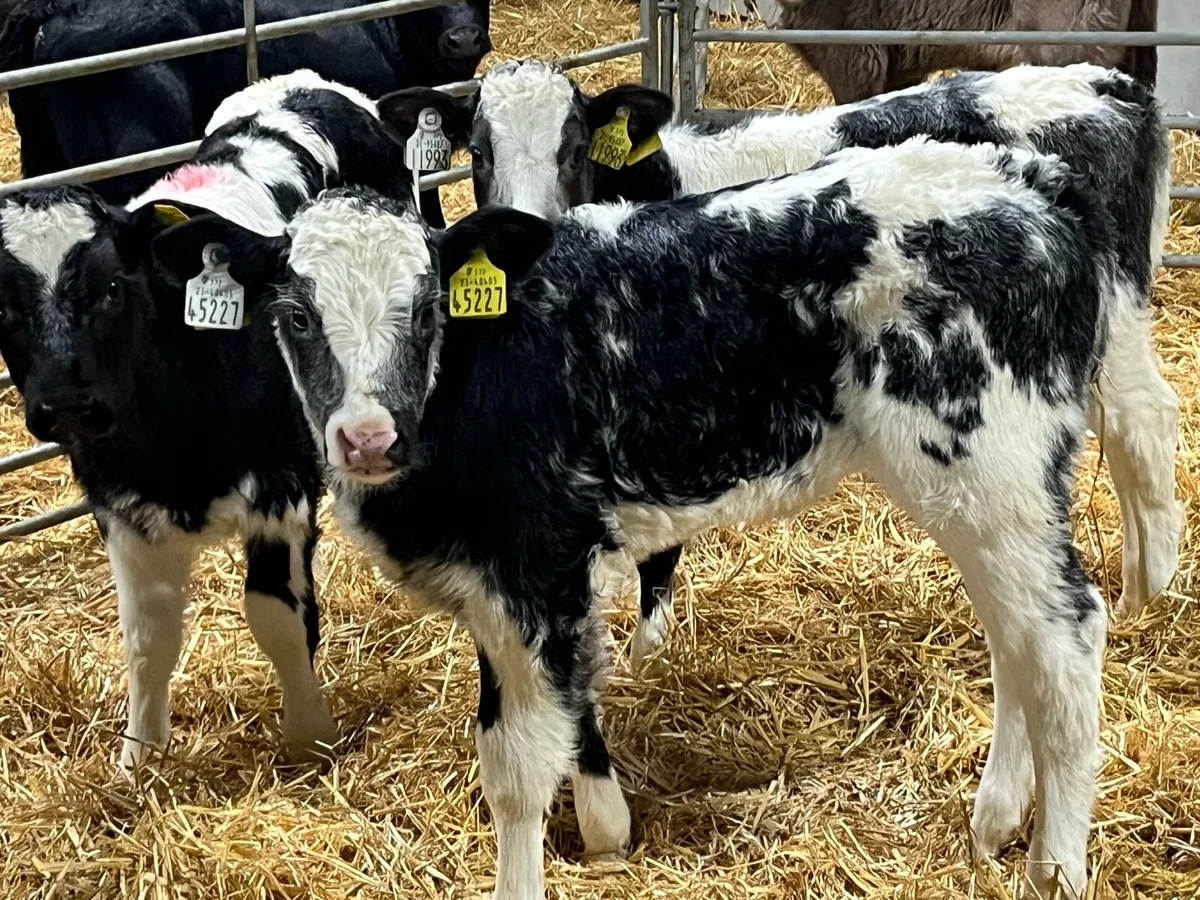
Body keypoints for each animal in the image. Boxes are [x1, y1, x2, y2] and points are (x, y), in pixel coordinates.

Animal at [0, 70, 415, 775]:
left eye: (114, 286)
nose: (66, 404)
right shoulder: (121, 503)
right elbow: (147, 633)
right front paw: (139, 755)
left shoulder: (280, 483)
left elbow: (277, 616)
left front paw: (310, 737)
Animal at [151, 134, 1179, 898]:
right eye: (294, 315)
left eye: (425, 310)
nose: (364, 435)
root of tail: (1035, 185)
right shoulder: (500, 579)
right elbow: (550, 710)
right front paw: (609, 827)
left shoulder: (537, 561)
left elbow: (515, 767)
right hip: (983, 485)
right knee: (1018, 635)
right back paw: (995, 821)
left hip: (991, 464)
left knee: (1066, 634)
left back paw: (1056, 865)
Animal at [378, 58, 1183, 666]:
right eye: (478, 153)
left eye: (574, 148)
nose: (529, 231)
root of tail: (1111, 83)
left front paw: (648, 651)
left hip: (1116, 311)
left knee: (1143, 417)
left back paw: (1147, 595)